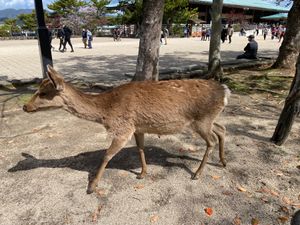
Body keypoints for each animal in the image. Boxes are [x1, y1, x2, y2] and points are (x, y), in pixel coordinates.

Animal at [23, 64, 231, 193]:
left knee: (212, 140)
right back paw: (223, 162)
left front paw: (92, 186)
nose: (25, 106)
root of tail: (225, 91)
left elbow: (107, 155)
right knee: (221, 128)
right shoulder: (137, 127)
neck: (106, 111)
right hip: (208, 119)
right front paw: (142, 173)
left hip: (201, 120)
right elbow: (140, 148)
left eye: (43, 93)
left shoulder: (123, 128)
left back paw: (197, 173)